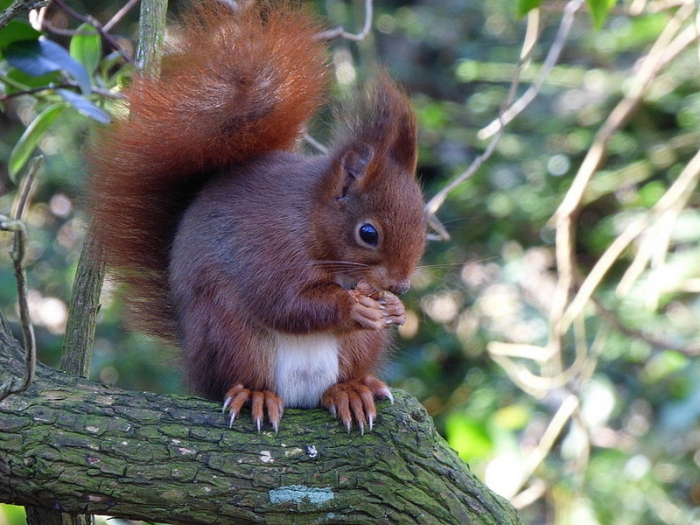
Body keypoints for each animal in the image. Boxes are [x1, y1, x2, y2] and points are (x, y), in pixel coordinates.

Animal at [86, 0, 426, 433]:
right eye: (368, 233)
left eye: (424, 226)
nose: (400, 286)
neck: (309, 221)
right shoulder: (268, 247)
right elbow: (285, 303)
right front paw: (354, 308)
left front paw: (395, 310)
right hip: (229, 332)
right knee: (241, 374)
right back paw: (255, 395)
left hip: (358, 345)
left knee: (341, 377)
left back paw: (350, 390)